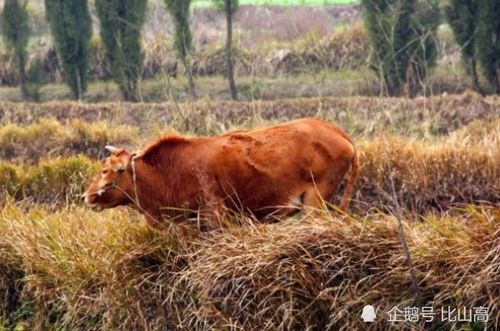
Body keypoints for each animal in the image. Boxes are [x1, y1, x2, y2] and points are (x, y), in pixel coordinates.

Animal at [82, 118, 358, 230]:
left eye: (108, 170)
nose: (86, 196)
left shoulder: (215, 217)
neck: (166, 174)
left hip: (315, 202)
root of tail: (337, 131)